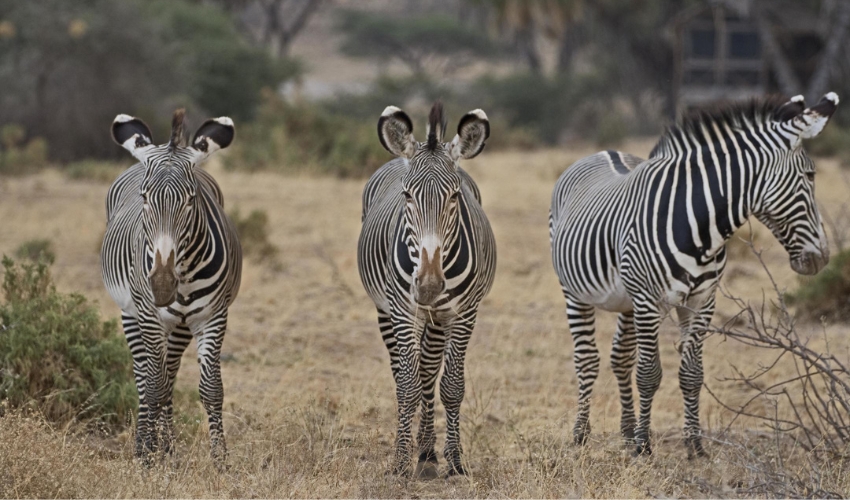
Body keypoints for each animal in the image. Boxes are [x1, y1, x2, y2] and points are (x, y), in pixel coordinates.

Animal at [101, 109, 241, 467]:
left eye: (191, 200)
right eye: (145, 198)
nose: (162, 285)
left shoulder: (213, 316)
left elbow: (211, 388)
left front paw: (220, 460)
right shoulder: (150, 316)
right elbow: (153, 387)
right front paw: (150, 459)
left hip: (179, 325)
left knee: (170, 373)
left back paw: (168, 446)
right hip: (131, 313)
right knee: (143, 374)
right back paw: (146, 445)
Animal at [357, 102, 496, 476]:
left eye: (455, 196)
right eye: (407, 195)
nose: (430, 285)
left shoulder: (464, 313)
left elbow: (451, 385)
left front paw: (455, 460)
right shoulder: (403, 310)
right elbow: (407, 386)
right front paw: (399, 461)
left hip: (437, 319)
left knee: (429, 372)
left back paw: (428, 452)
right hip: (386, 310)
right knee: (405, 373)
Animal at [549, 93, 838, 458]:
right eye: (811, 175)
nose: (822, 258)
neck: (700, 228)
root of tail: (603, 151)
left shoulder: (702, 301)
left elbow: (691, 374)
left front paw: (694, 445)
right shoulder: (649, 301)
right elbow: (649, 373)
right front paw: (644, 447)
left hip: (627, 300)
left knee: (621, 358)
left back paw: (626, 431)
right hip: (575, 292)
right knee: (587, 359)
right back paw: (581, 433)